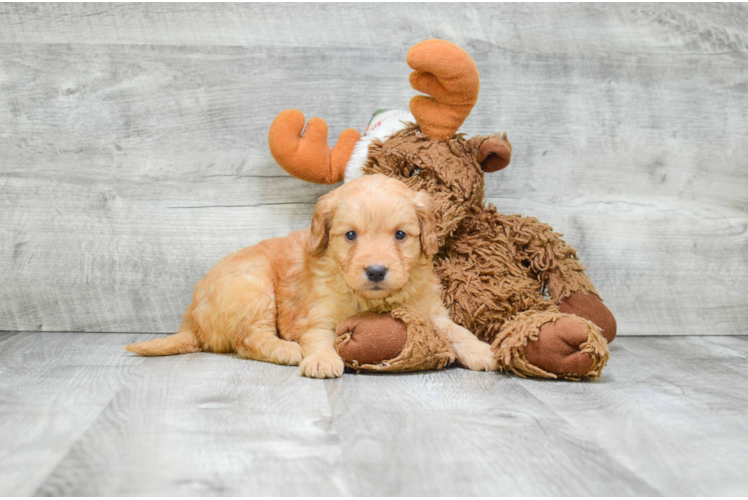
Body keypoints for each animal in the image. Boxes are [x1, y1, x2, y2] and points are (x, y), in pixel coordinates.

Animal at [124, 174, 496, 376]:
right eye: (350, 235)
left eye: (401, 235)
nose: (376, 271)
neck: (371, 300)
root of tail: (191, 319)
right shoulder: (317, 314)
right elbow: (319, 337)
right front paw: (321, 360)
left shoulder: (431, 311)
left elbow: (457, 330)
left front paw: (482, 351)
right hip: (252, 286)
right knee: (247, 340)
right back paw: (286, 350)